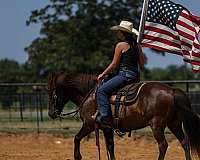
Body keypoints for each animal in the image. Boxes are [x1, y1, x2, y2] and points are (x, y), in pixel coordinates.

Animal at [47, 71, 200, 160]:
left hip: (157, 126)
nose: (51, 113)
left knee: (163, 145)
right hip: (174, 123)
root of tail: (172, 91)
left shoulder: (89, 124)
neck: (90, 95)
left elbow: (77, 138)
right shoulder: (106, 128)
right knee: (185, 143)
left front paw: (78, 156)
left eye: (51, 92)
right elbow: (110, 147)